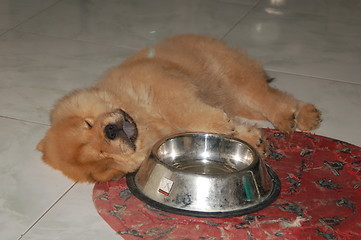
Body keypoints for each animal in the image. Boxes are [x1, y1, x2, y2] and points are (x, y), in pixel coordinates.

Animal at [36, 34, 320, 183]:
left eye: (88, 123)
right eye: (103, 155)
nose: (111, 132)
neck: (142, 116)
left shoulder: (162, 84)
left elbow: (187, 113)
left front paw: (220, 125)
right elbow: (228, 130)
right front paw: (252, 140)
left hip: (234, 80)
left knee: (267, 97)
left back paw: (295, 117)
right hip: (237, 98)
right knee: (271, 98)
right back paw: (302, 116)